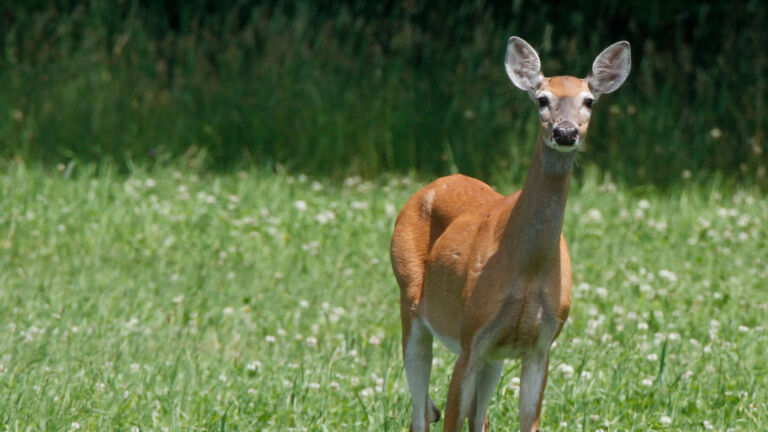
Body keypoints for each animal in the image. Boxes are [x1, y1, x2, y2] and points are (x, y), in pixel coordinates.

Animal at [390, 36, 630, 432]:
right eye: (542, 99)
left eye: (589, 100)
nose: (565, 132)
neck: (527, 269)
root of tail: (433, 184)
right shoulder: (471, 338)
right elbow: (451, 419)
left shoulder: (540, 345)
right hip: (411, 302)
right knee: (421, 415)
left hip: (495, 355)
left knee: (477, 417)